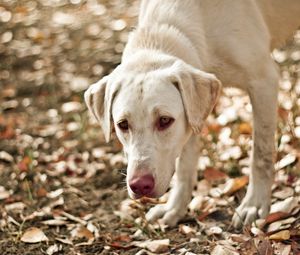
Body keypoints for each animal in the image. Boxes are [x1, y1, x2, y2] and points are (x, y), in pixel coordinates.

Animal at [84, 0, 300, 227]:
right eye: (123, 125)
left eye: (164, 120)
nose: (140, 185)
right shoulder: (192, 117)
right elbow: (184, 167)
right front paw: (175, 207)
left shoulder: (263, 82)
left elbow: (260, 154)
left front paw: (255, 204)